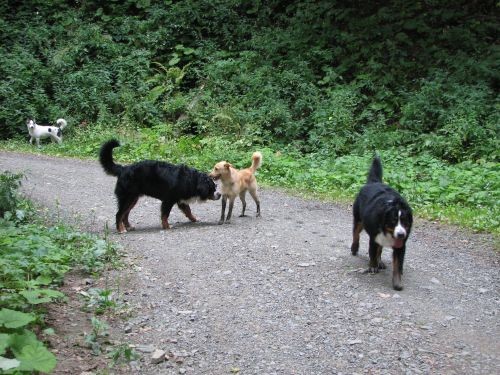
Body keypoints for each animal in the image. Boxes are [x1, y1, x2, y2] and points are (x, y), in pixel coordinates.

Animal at [350, 156, 412, 290]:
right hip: (359, 220)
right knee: (356, 234)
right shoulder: (374, 237)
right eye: (393, 221)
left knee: (380, 248)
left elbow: (397, 264)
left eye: (405, 221)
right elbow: (372, 252)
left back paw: (380, 262)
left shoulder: (400, 245)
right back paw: (354, 248)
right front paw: (372, 266)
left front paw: (397, 282)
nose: (401, 234)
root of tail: (373, 182)